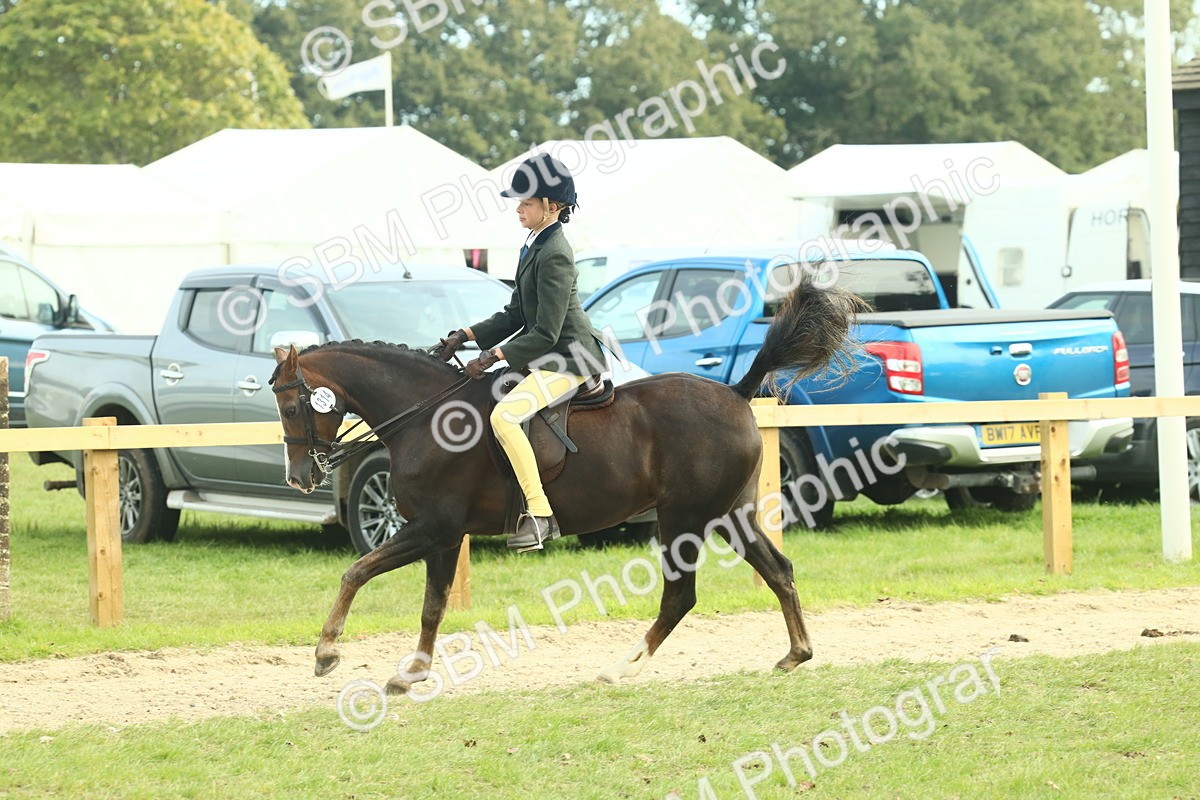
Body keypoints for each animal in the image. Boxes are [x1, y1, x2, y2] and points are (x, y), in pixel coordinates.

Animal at [270, 278, 865, 694]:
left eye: (294, 405)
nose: (301, 477)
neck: (425, 416)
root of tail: (736, 392)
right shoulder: (442, 534)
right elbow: (432, 606)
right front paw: (410, 674)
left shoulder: (433, 527)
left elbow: (356, 571)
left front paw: (326, 653)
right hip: (728, 514)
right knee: (779, 570)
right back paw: (796, 654)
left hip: (683, 520)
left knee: (680, 596)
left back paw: (620, 668)